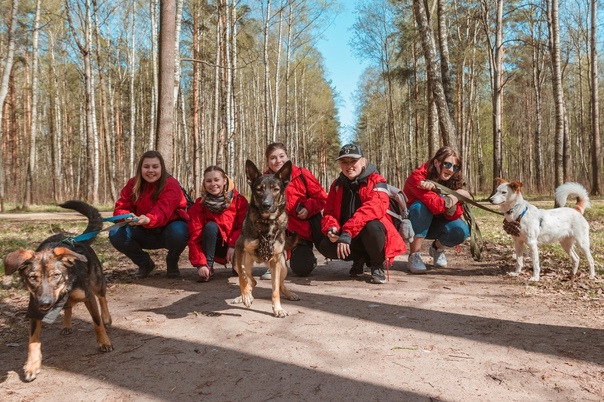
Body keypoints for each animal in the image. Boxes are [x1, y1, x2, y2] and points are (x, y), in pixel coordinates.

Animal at [4, 201, 112, 380]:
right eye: (33, 277)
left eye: (56, 275)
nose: (45, 303)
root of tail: (75, 238)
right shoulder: (34, 308)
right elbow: (33, 340)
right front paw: (32, 365)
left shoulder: (88, 296)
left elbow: (97, 323)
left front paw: (104, 342)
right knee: (68, 307)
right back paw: (66, 325)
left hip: (97, 281)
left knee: (102, 298)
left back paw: (107, 318)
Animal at [232, 160, 298, 318]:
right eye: (258, 190)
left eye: (275, 189)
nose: (266, 205)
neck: (266, 223)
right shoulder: (239, 248)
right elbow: (242, 277)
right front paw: (246, 296)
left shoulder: (276, 262)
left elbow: (275, 290)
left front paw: (278, 309)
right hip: (236, 261)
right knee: (251, 279)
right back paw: (243, 296)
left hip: (282, 266)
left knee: (280, 284)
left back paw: (290, 294)